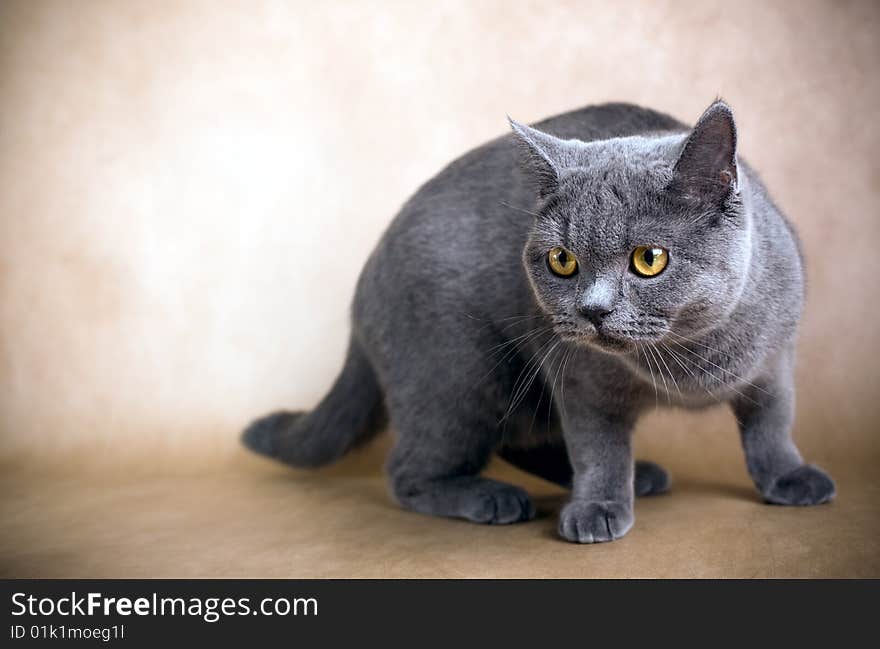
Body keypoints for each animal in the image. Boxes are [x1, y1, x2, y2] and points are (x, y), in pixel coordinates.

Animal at [244, 100, 836, 540]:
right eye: (562, 261)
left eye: (649, 259)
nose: (592, 310)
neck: (690, 360)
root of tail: (364, 278)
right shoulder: (580, 378)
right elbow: (598, 446)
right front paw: (598, 507)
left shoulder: (776, 358)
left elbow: (771, 423)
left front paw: (789, 477)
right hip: (460, 370)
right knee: (410, 470)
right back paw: (494, 496)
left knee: (524, 440)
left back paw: (637, 475)